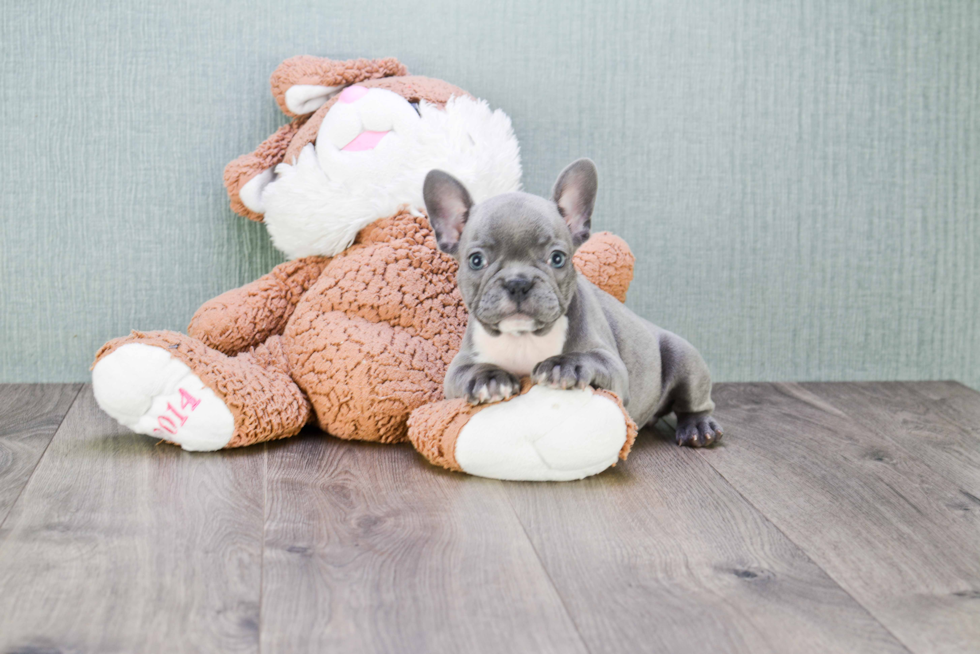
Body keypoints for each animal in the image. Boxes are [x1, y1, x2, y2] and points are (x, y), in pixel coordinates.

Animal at [422, 160, 720, 448]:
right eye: (476, 261)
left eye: (557, 258)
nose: (518, 282)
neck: (524, 337)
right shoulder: (457, 369)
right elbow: (468, 371)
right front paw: (489, 378)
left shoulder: (612, 366)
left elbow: (587, 358)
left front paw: (563, 365)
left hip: (684, 358)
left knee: (696, 403)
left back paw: (698, 427)